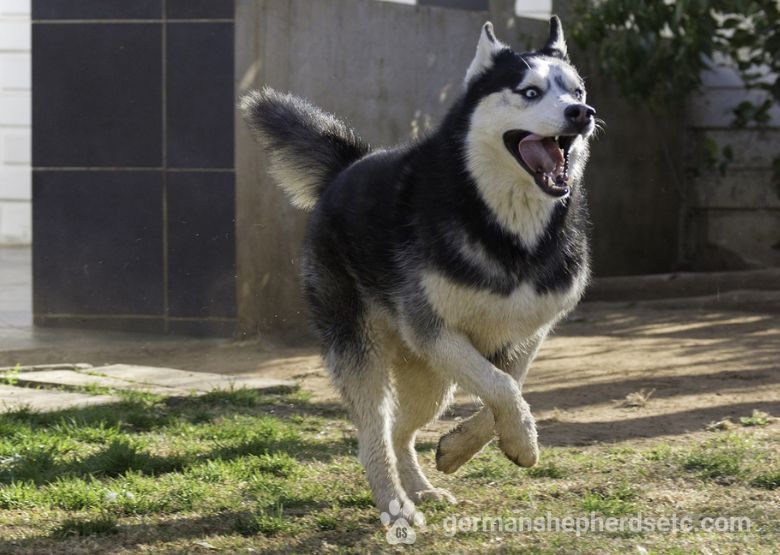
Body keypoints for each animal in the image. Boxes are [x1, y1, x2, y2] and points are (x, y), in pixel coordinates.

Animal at [244, 18, 596, 520]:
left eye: (577, 90)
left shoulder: (527, 333)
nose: (581, 113)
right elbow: (502, 387)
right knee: (373, 434)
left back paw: (421, 488)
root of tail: (348, 165)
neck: (505, 227)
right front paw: (524, 443)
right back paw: (395, 505)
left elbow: (509, 384)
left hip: (430, 377)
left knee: (399, 430)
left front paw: (465, 447)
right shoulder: (432, 329)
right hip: (364, 353)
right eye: (530, 92)